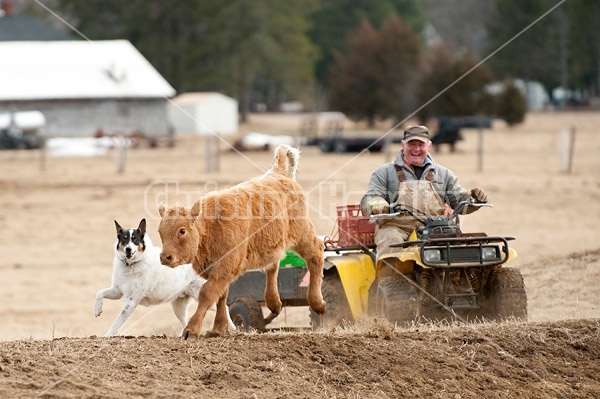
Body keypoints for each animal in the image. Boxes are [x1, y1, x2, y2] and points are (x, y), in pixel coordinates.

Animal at [94, 219, 234, 338]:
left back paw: (231, 329)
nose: (128, 249)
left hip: (201, 297)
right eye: (124, 239)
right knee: (185, 320)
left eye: (135, 240)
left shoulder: (131, 301)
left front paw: (107, 335)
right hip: (178, 306)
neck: (132, 264)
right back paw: (183, 335)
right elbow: (99, 293)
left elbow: (117, 321)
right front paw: (97, 310)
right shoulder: (117, 291)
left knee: (224, 307)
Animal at [159, 144, 326, 338]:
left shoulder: (225, 267)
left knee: (315, 254)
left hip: (302, 235)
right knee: (272, 267)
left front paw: (191, 330)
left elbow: (207, 293)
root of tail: (279, 174)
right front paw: (218, 328)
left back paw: (318, 304)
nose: (165, 257)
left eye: (182, 230)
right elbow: (221, 295)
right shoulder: (220, 272)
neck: (211, 225)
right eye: (160, 232)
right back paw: (274, 302)